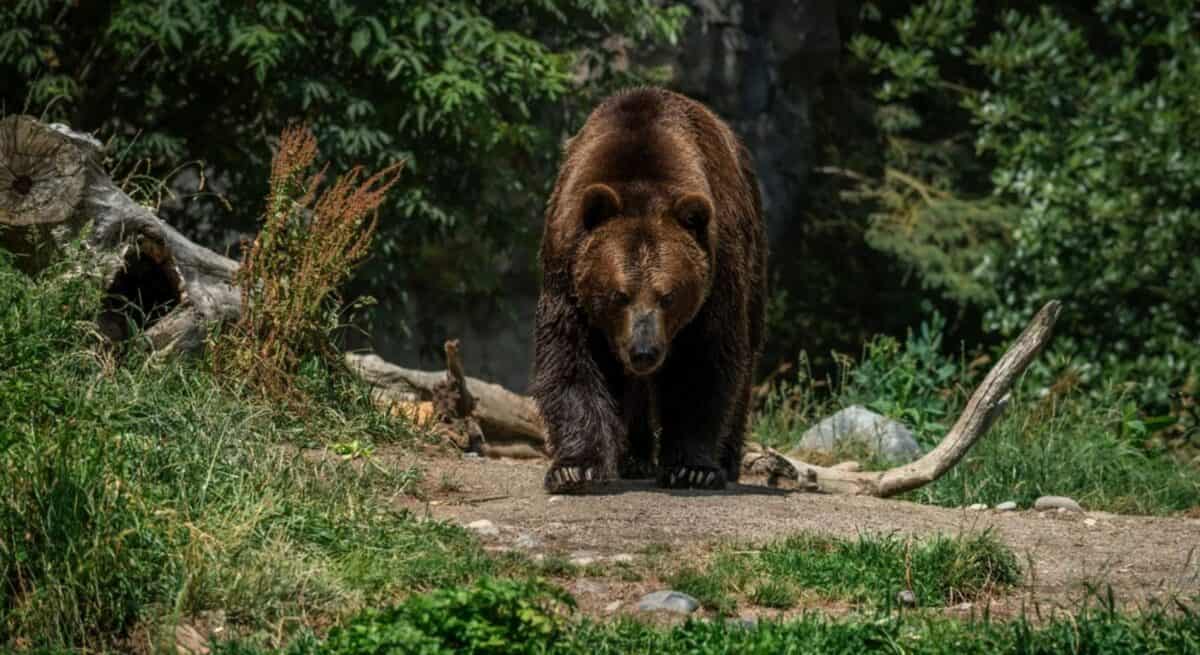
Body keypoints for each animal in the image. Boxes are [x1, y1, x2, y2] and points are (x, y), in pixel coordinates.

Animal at [530, 86, 763, 489]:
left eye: (668, 296)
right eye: (618, 294)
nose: (644, 351)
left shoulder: (719, 270)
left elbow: (705, 360)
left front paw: (692, 468)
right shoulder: (567, 265)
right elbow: (570, 357)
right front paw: (575, 466)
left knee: (746, 357)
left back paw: (726, 460)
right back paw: (633, 458)